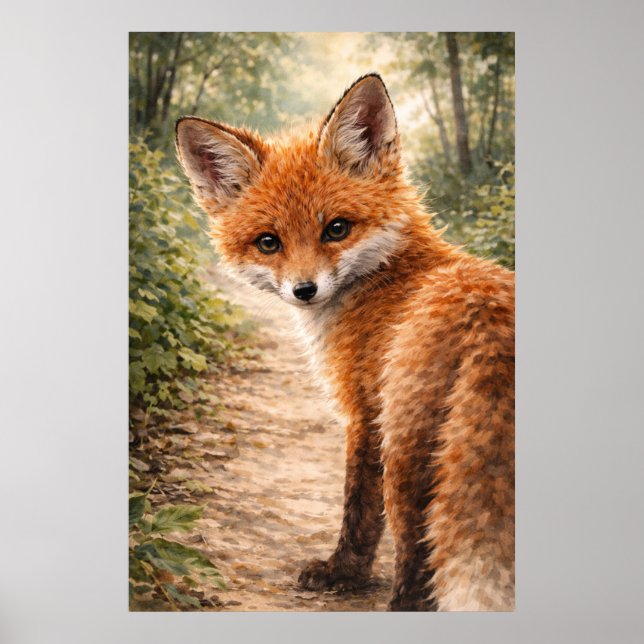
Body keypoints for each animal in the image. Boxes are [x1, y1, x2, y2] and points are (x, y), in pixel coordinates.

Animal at [175, 73, 515, 611]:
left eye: (336, 229)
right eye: (269, 242)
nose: (304, 290)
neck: (390, 276)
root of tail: (491, 313)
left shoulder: (364, 412)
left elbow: (359, 510)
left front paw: (343, 572)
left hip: (407, 448)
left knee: (416, 549)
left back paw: (403, 604)